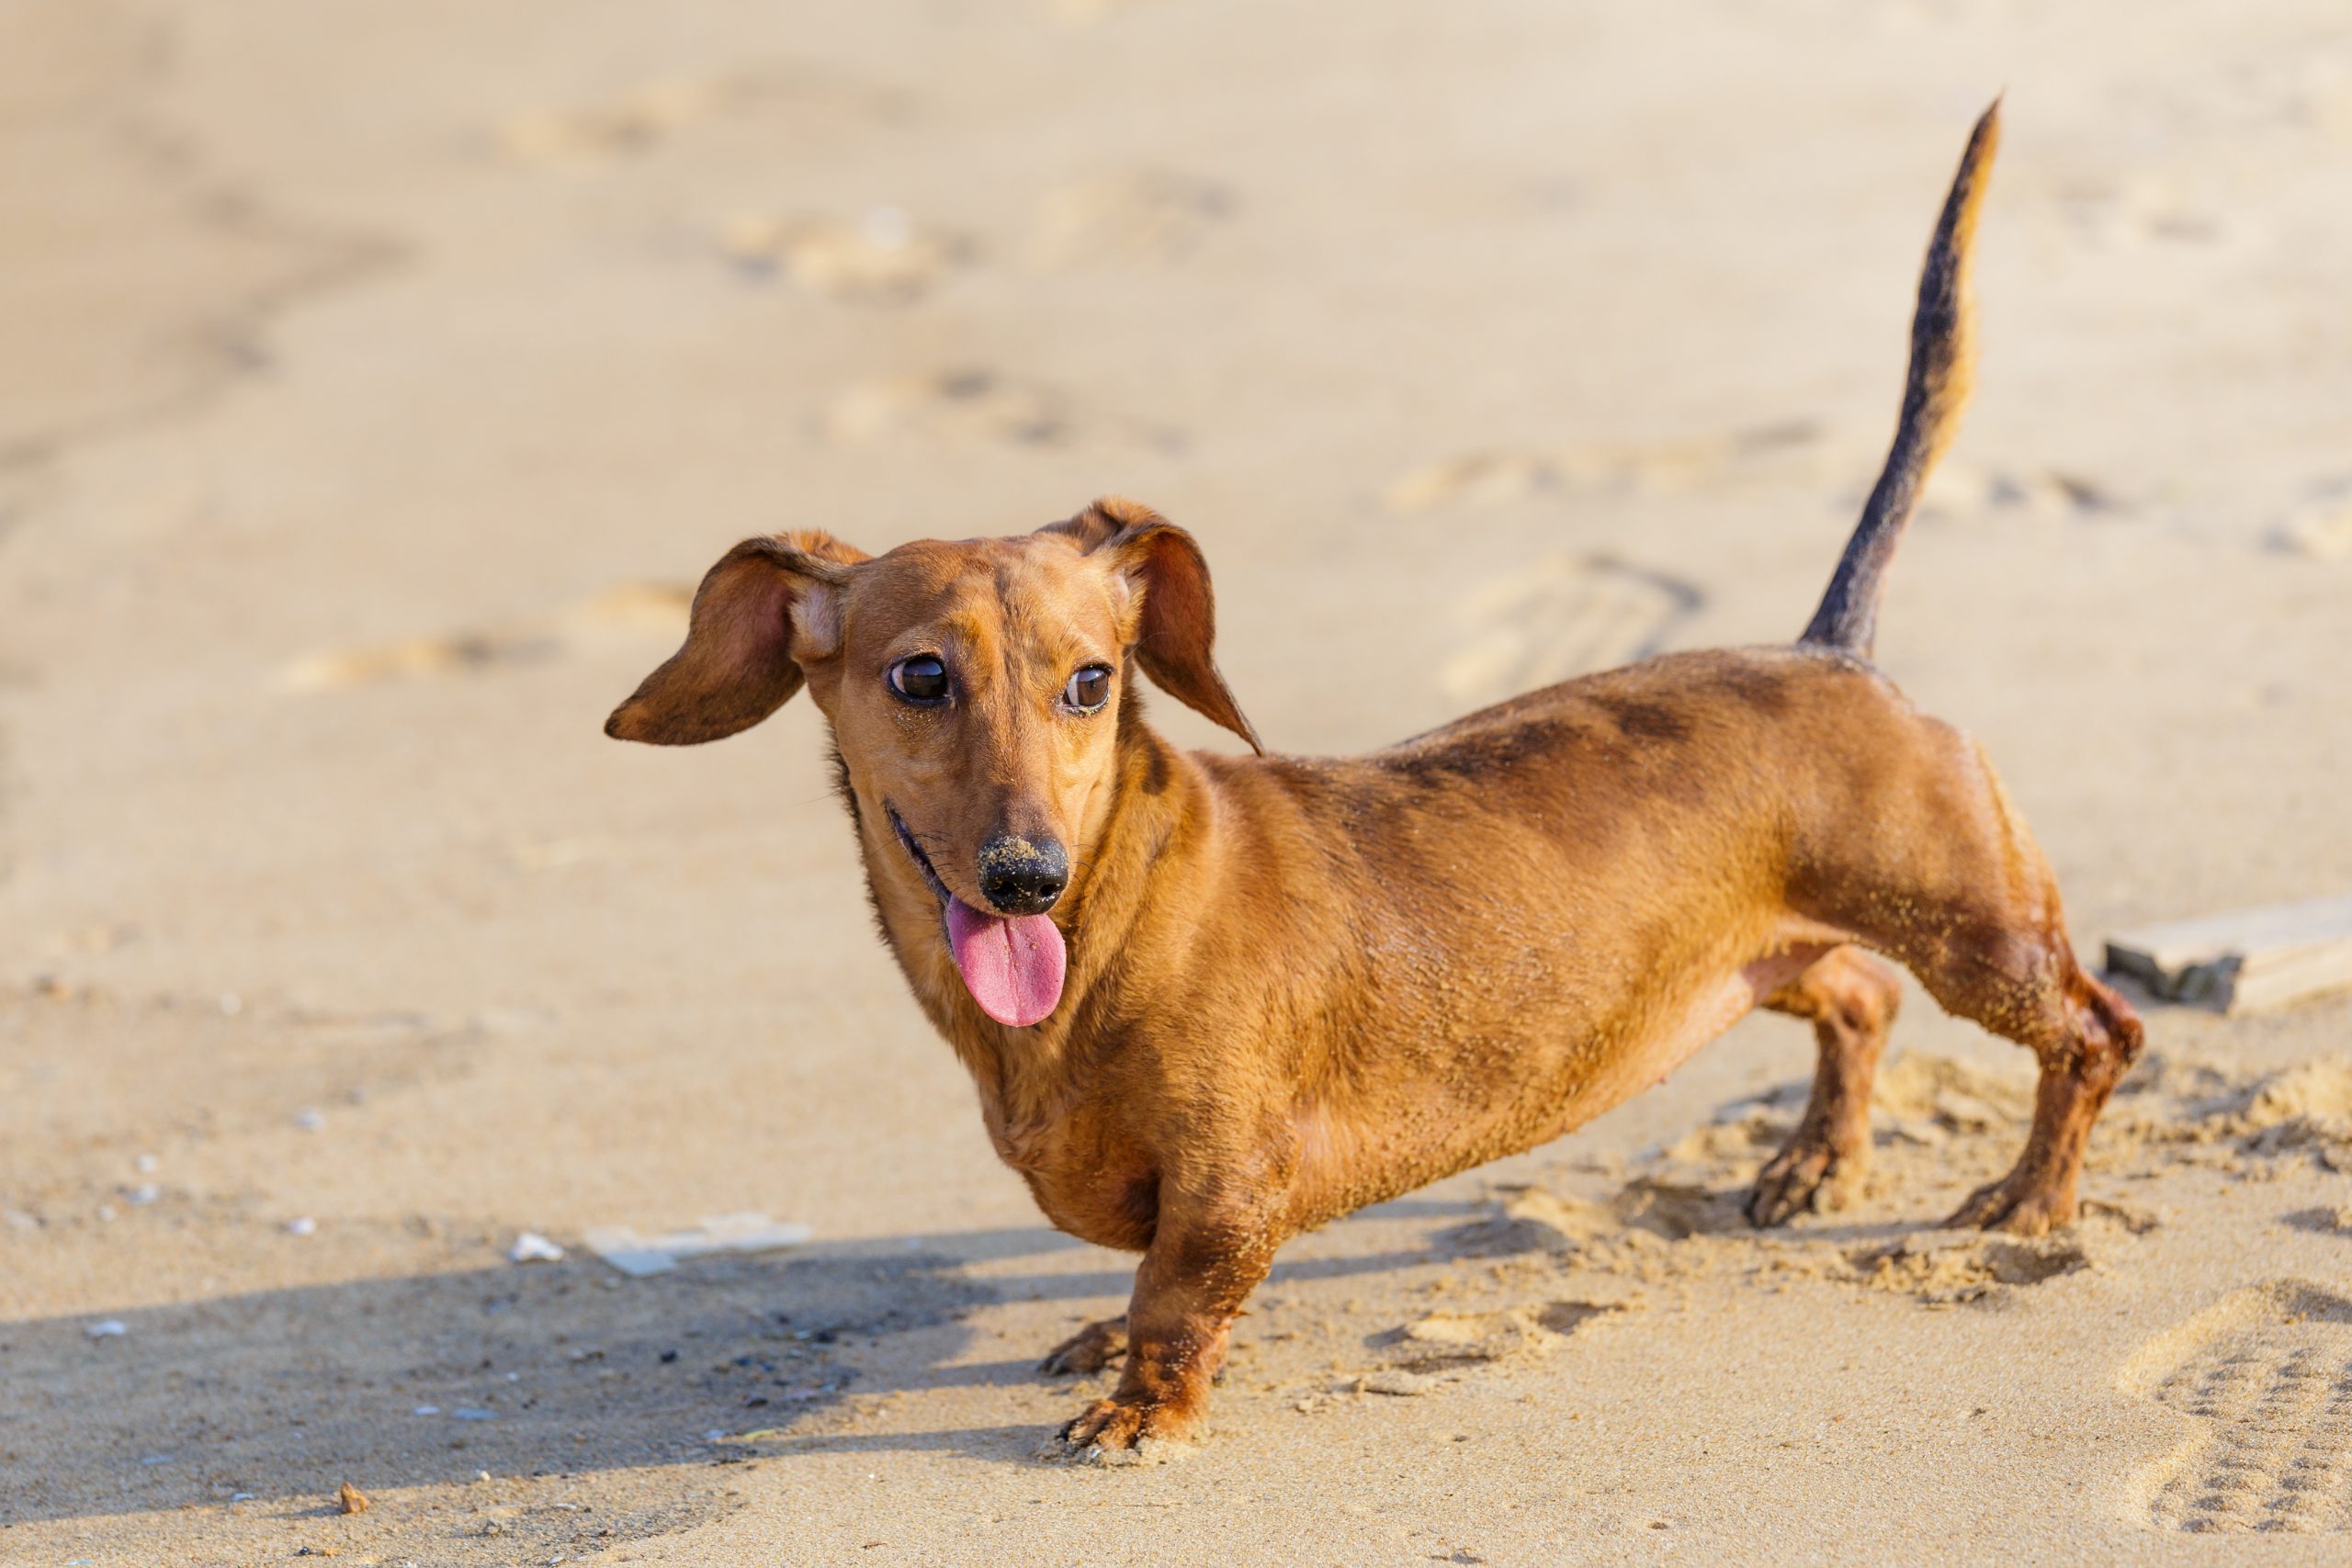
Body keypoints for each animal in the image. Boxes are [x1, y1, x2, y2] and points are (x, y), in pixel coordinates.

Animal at [611, 104, 2154, 1457]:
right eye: (921, 676)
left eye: (1092, 680)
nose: (1024, 877)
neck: (1119, 913)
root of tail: (1833, 642)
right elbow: (1140, 1274)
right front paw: (1106, 1346)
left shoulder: (1233, 1182)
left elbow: (1176, 1289)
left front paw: (1141, 1404)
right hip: (1753, 950)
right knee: (1857, 996)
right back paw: (1814, 1162)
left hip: (1977, 930)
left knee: (2095, 1031)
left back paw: (2027, 1197)